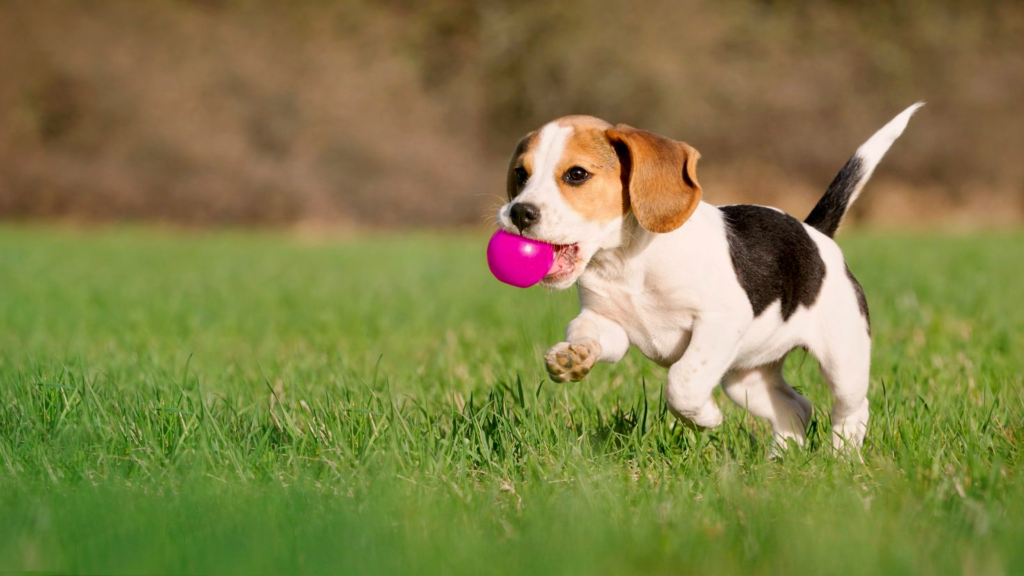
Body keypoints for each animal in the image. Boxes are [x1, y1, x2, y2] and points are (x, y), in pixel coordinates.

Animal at [495, 105, 921, 450]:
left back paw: (841, 457)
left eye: (577, 174)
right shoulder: (607, 324)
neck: (626, 262)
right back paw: (780, 461)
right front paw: (572, 357)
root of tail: (814, 232)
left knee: (852, 410)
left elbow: (682, 382)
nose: (519, 212)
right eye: (520, 174)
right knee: (796, 408)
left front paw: (706, 418)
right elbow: (587, 334)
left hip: (843, 359)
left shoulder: (719, 322)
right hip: (746, 378)